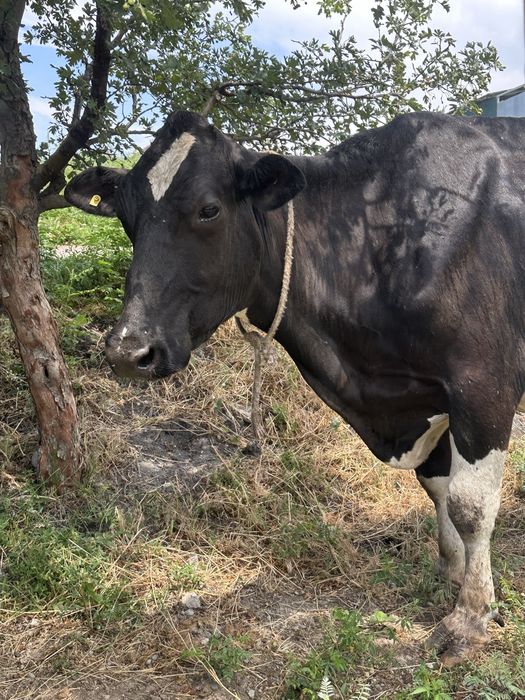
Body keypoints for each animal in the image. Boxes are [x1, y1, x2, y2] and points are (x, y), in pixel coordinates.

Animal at [64, 109, 525, 665]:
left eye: (208, 210)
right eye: (127, 216)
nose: (128, 351)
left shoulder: (483, 382)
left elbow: (469, 505)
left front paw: (470, 616)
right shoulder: (426, 398)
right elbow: (438, 488)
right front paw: (452, 576)